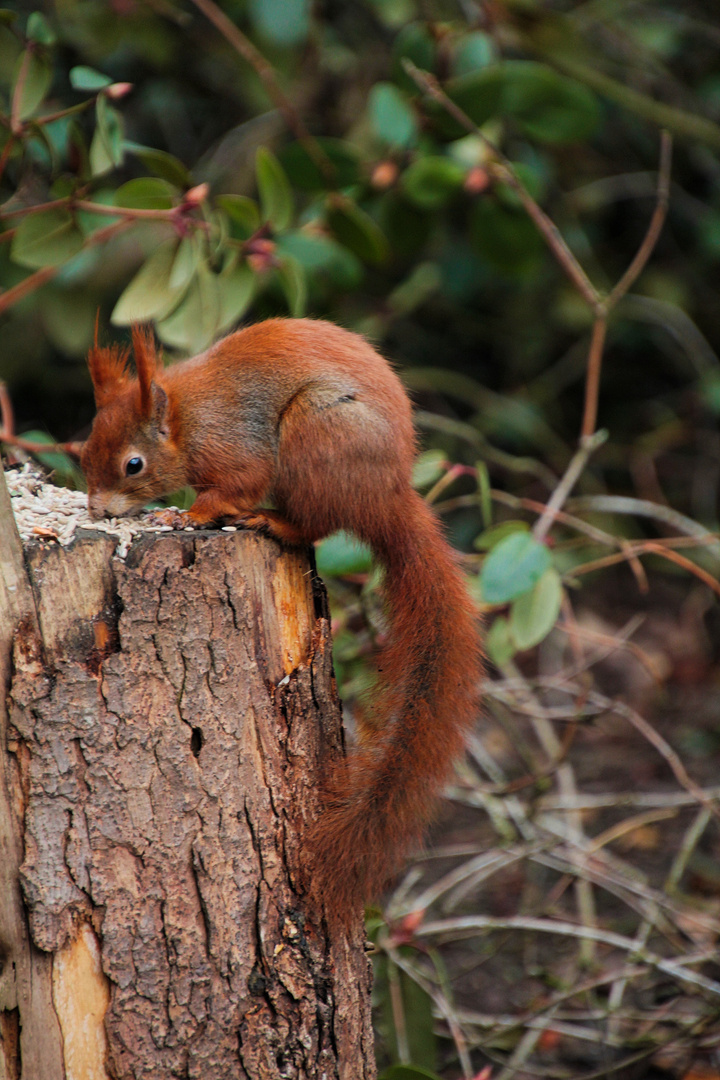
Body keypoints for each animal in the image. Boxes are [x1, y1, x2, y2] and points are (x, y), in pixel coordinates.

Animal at [81, 317, 481, 920]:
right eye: (83, 450)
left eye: (134, 464)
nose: (98, 512)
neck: (187, 420)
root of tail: (387, 499)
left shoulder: (236, 448)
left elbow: (231, 487)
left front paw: (187, 515)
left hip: (317, 434)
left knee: (315, 524)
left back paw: (273, 522)